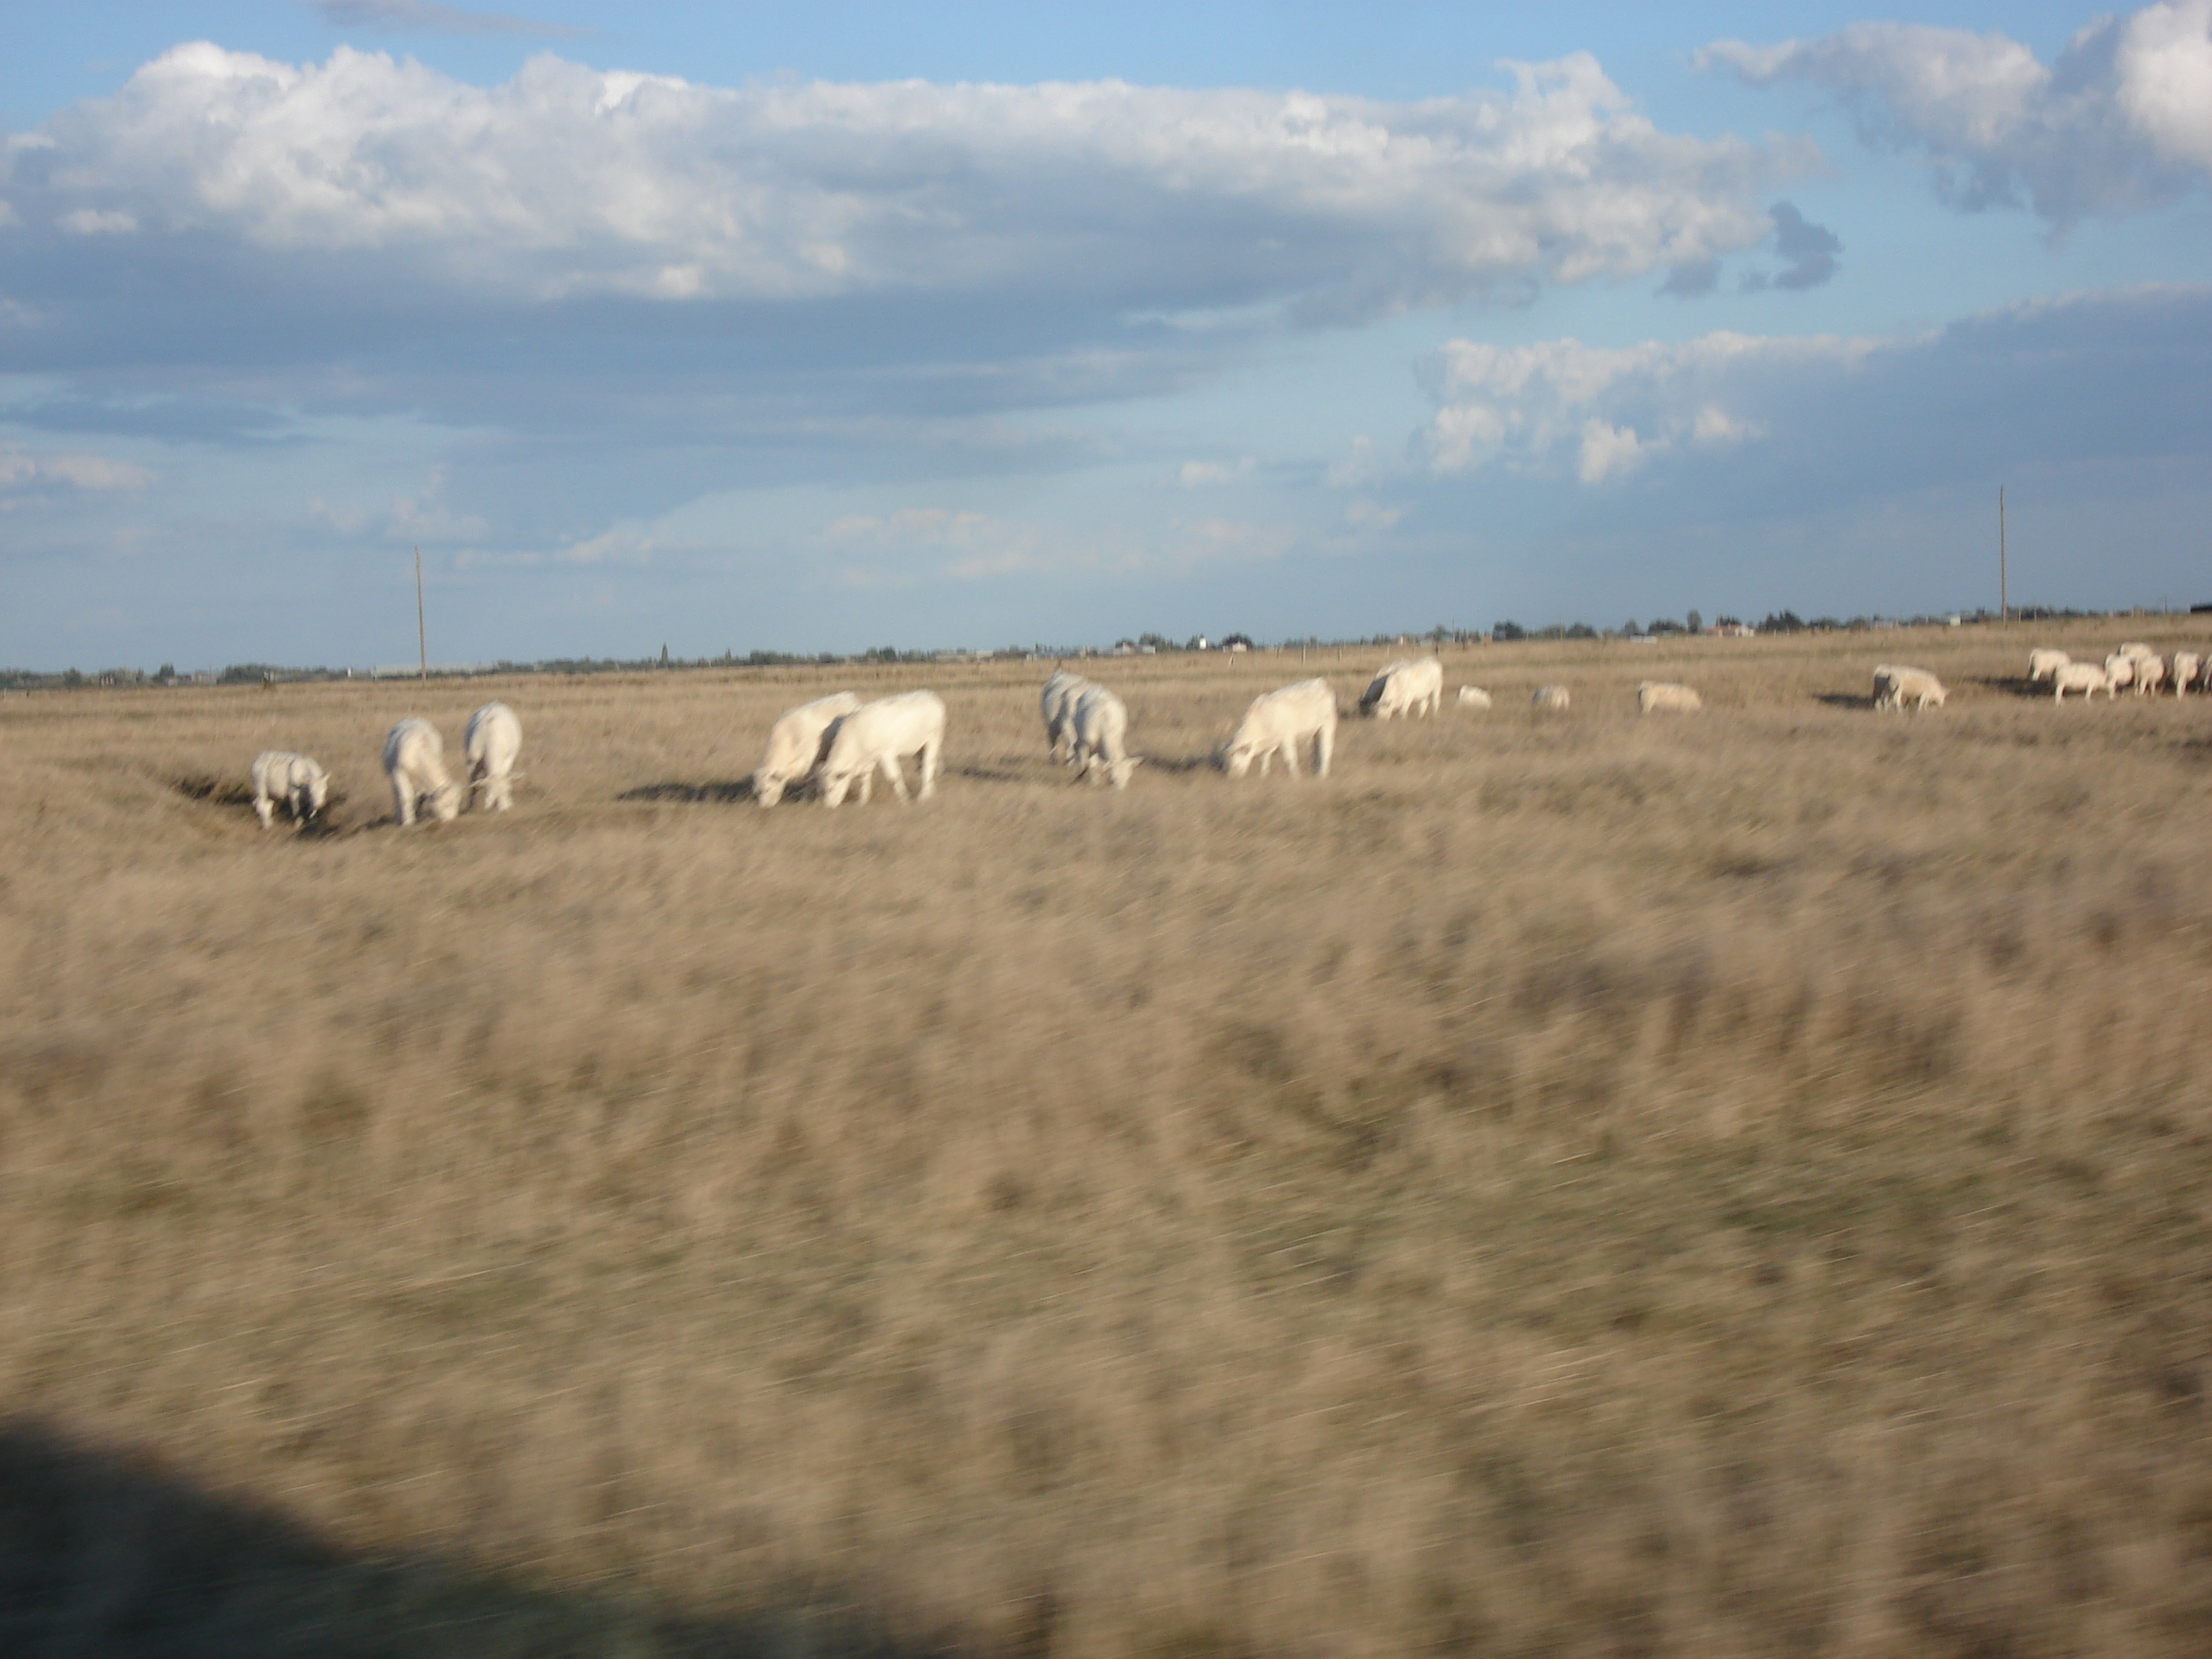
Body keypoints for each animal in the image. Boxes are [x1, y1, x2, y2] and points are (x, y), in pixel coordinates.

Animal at [383, 716, 460, 827]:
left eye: (456, 802)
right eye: (447, 804)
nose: (451, 820)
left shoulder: (423, 780)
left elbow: (421, 797)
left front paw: (418, 818)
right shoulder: (399, 773)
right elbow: (405, 797)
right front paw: (408, 822)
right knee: (397, 795)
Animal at [462, 703, 522, 814]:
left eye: (508, 790)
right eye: (490, 793)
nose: (503, 810)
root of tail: (494, 703)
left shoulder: (507, 759)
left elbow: (504, 775)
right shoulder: (471, 761)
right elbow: (473, 782)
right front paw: (471, 805)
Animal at [760, 690, 862, 809]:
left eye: (768, 789)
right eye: (758, 791)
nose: (763, 806)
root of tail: (848, 695)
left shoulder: (810, 762)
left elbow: (809, 780)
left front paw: (806, 799)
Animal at [818, 690, 947, 809]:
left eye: (831, 788)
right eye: (824, 789)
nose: (829, 806)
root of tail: (929, 694)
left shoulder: (886, 754)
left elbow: (894, 777)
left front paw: (904, 799)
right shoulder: (868, 759)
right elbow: (865, 777)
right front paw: (863, 800)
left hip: (933, 739)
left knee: (928, 764)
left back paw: (923, 795)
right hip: (919, 747)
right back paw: (931, 791)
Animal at [1221, 676, 1335, 778]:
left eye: (1236, 763)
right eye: (1229, 762)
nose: (1232, 776)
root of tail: (1321, 682)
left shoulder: (1287, 737)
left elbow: (1290, 757)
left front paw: (1296, 775)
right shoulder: (1273, 740)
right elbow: (1265, 756)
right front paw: (1264, 774)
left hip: (1327, 725)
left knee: (1326, 748)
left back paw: (1322, 773)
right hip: (1315, 731)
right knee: (1316, 749)